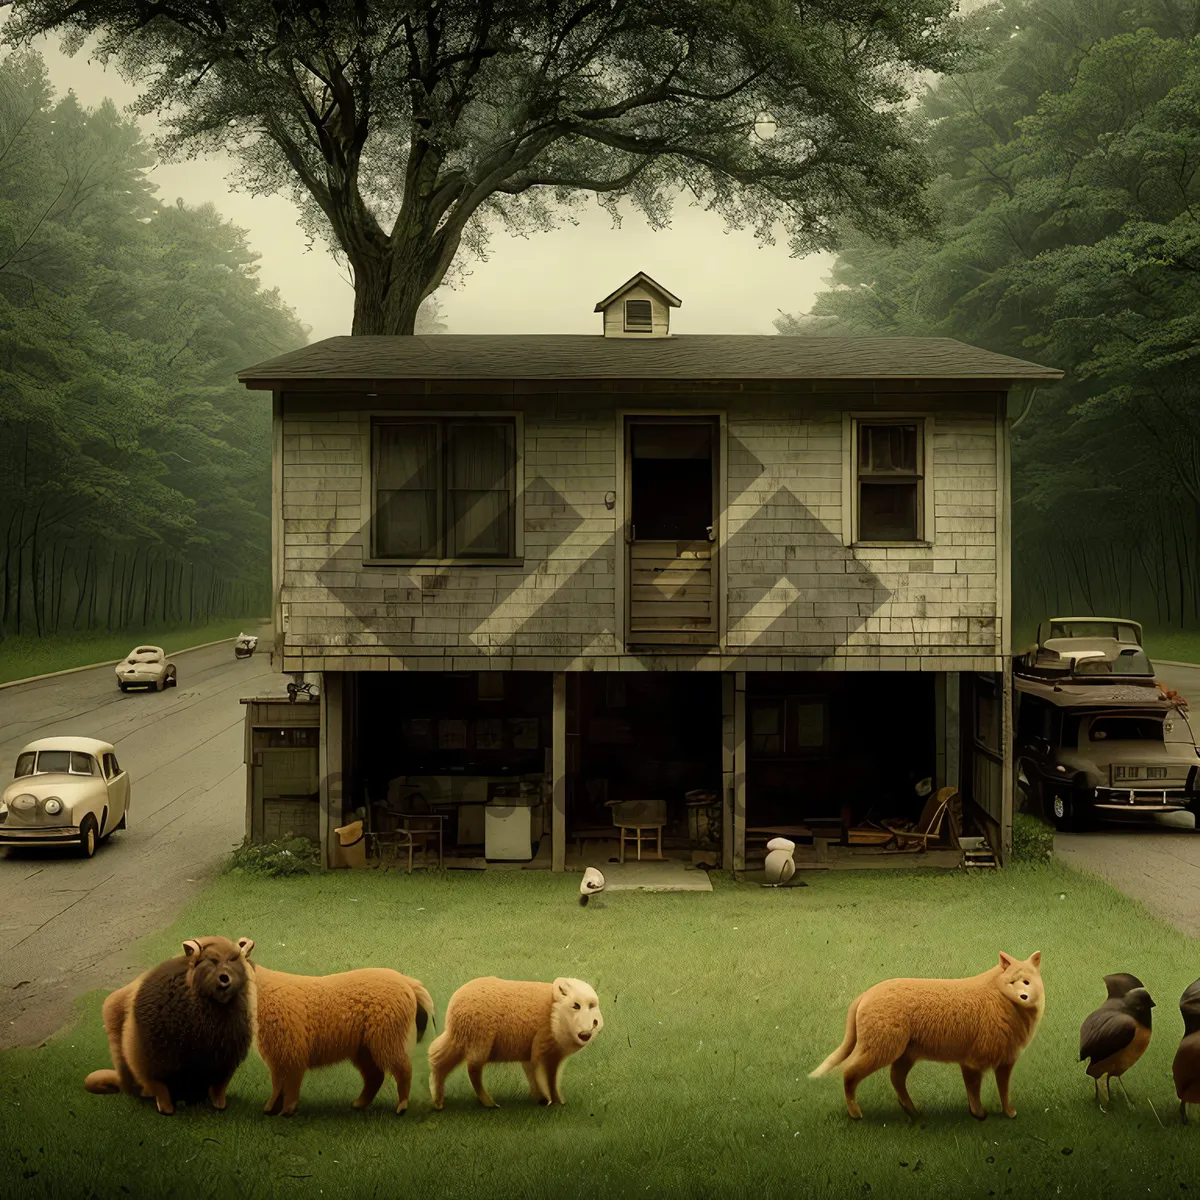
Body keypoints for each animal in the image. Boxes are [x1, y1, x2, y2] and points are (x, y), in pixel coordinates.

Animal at [427, 969, 604, 1108]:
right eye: (576, 1005)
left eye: (592, 1006)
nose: (585, 1034)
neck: (554, 1014)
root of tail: (454, 1003)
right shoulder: (541, 1049)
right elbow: (543, 1077)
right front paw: (548, 1101)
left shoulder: (548, 1056)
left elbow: (549, 1078)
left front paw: (554, 1101)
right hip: (479, 1041)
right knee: (472, 1070)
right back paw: (491, 1104)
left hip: (460, 1040)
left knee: (437, 1058)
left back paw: (438, 1102)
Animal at [811, 950, 1046, 1118]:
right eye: (1012, 982)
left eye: (1027, 982)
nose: (1024, 996)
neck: (1000, 1000)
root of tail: (865, 995)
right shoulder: (974, 1061)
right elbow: (975, 1090)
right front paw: (980, 1115)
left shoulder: (1003, 1062)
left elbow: (1002, 1091)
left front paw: (1008, 1113)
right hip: (882, 1049)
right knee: (849, 1073)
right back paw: (855, 1114)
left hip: (905, 1054)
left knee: (895, 1078)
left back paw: (913, 1112)